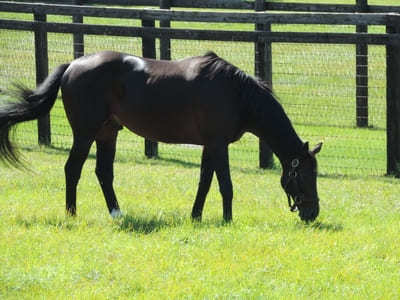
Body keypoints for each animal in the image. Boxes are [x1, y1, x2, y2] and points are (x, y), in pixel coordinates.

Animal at [0, 50, 322, 221]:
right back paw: (72, 214)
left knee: (103, 173)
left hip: (107, 133)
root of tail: (73, 64)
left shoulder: (209, 146)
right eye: (304, 175)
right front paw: (228, 220)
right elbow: (225, 186)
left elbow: (204, 183)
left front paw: (196, 216)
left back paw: (116, 213)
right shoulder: (219, 145)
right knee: (72, 170)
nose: (313, 213)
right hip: (85, 134)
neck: (235, 93)